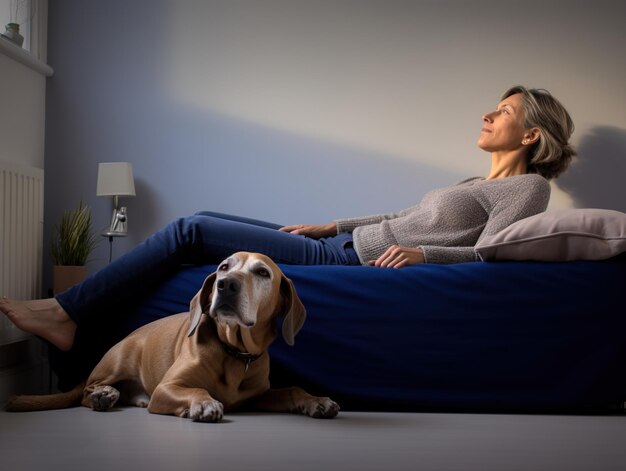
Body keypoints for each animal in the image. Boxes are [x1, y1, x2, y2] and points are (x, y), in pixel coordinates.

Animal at [4, 253, 336, 422]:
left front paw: (315, 400)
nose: (225, 284)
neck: (234, 351)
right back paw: (103, 395)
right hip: (118, 360)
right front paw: (204, 403)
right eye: (223, 267)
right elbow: (196, 390)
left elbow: (292, 389)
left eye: (263, 273)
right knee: (87, 391)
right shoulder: (168, 387)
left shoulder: (257, 396)